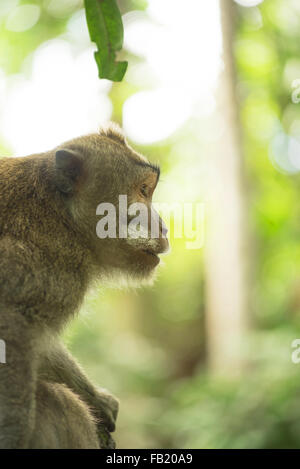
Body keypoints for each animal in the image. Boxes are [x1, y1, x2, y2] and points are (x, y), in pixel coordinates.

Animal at [0, 123, 169, 446]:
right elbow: (14, 327)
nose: (164, 227)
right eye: (142, 190)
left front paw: (98, 399)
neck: (63, 218)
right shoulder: (50, 265)